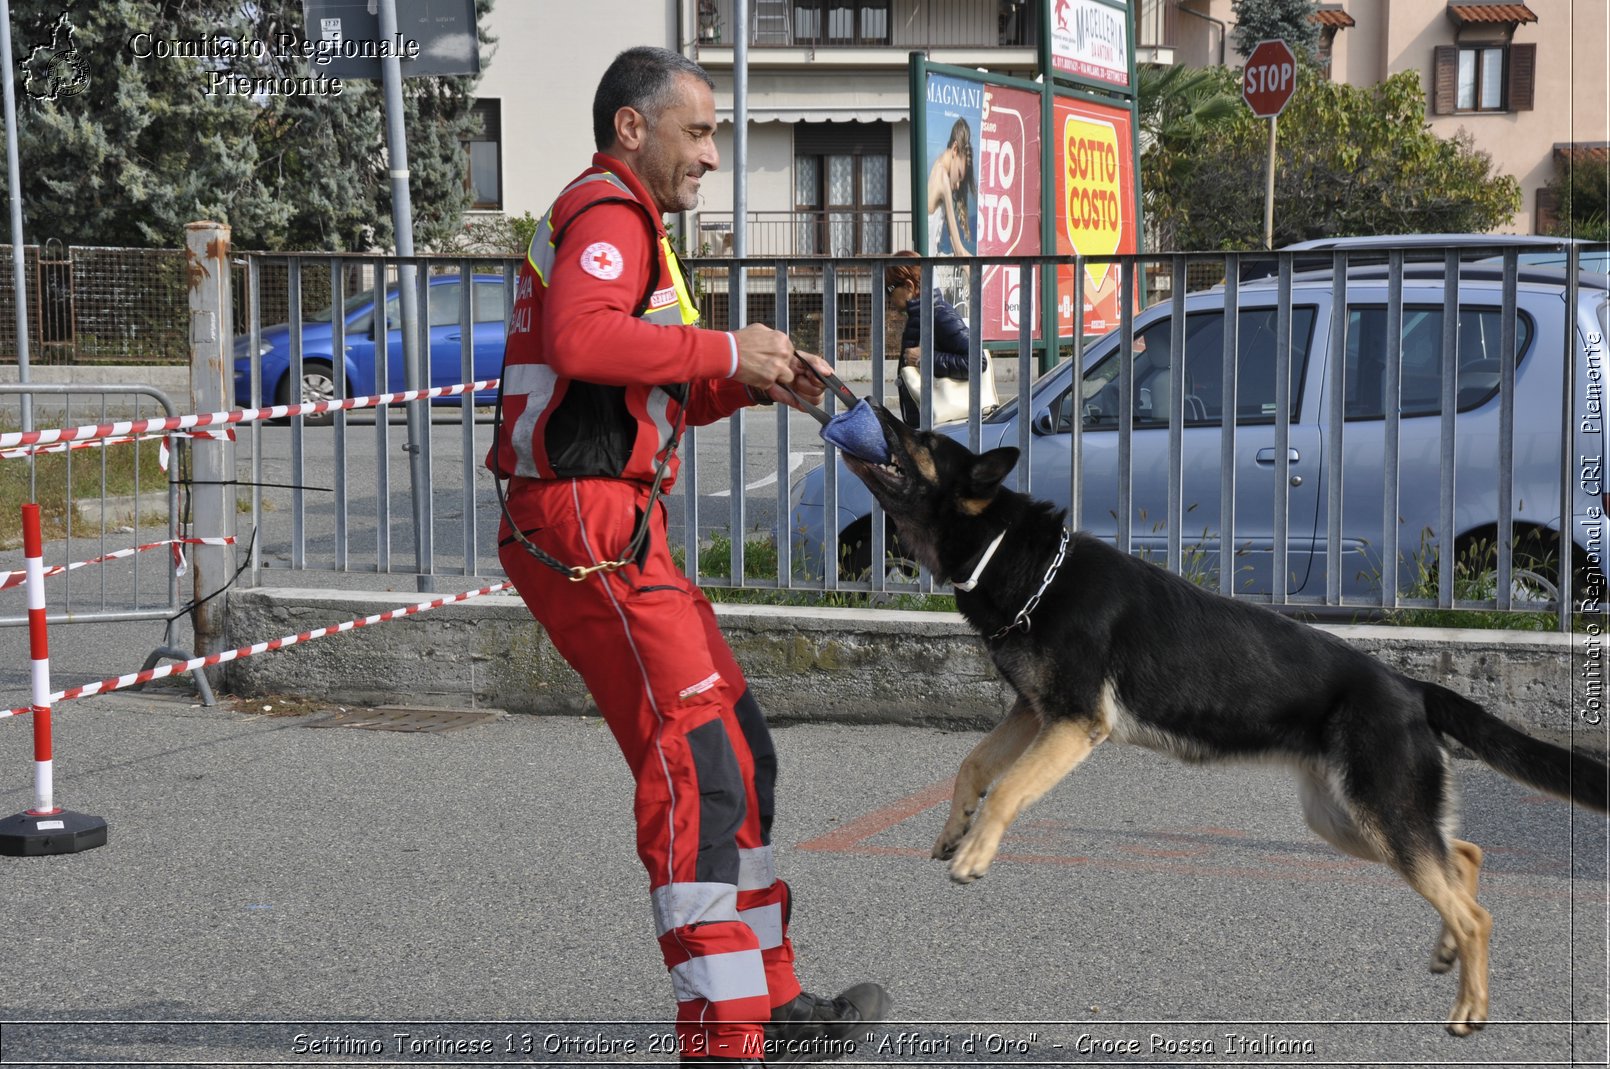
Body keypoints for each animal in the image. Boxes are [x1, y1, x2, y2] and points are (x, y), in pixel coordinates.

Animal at [843, 402, 1610, 1036]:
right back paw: (1448, 946)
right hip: (1346, 822)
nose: (873, 407)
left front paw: (976, 853)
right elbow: (972, 764)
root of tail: (1411, 687)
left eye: (918, 440)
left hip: (1375, 817)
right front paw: (953, 830)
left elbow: (1005, 789)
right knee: (1465, 856)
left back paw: (1470, 1005)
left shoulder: (1072, 724)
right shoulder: (1033, 713)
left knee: (1473, 909)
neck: (1023, 561)